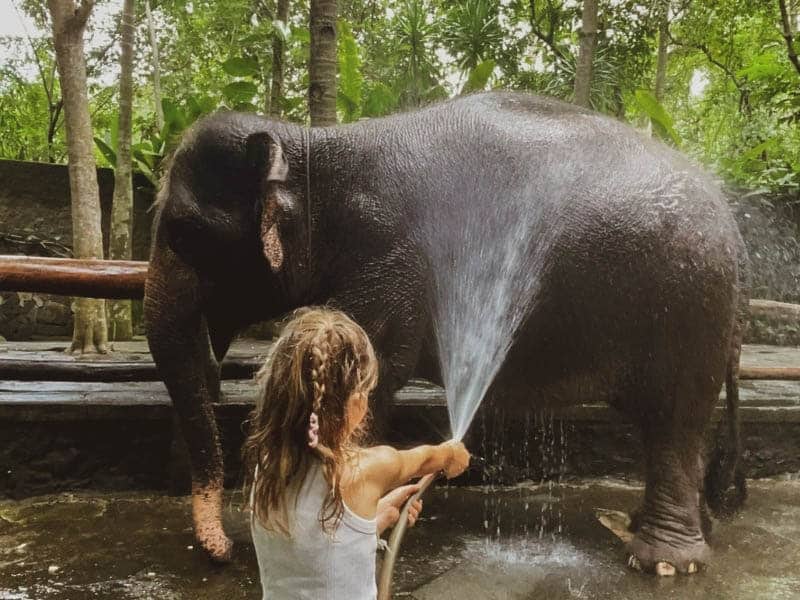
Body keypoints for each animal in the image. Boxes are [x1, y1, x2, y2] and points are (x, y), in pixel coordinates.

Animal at [145, 90, 752, 572]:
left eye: (183, 231)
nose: (224, 553)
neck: (316, 147)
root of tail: (733, 225)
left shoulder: (392, 262)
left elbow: (370, 375)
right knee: (673, 430)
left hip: (689, 310)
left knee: (674, 421)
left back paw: (666, 563)